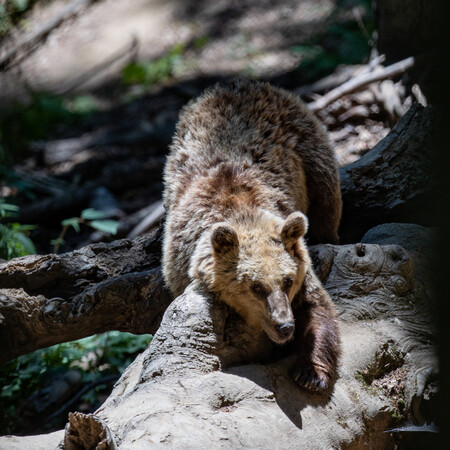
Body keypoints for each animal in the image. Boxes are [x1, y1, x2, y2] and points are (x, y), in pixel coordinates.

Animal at [162, 81, 342, 394]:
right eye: (255, 287)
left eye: (287, 280)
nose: (285, 326)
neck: (240, 212)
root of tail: (236, 84)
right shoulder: (180, 261)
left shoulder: (298, 260)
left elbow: (319, 307)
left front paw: (310, 374)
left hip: (306, 147)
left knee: (326, 199)